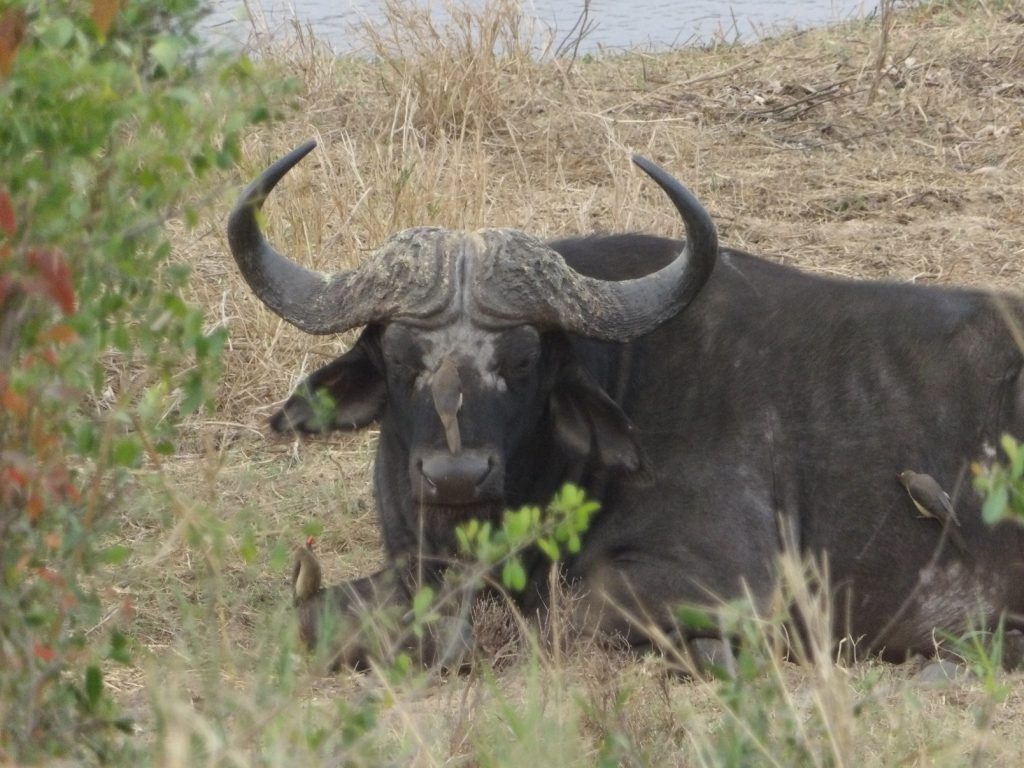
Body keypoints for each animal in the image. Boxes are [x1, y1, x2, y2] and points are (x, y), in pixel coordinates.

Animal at [230, 140, 1024, 667]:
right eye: (399, 360)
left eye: (524, 361)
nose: (455, 476)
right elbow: (313, 613)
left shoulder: (739, 582)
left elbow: (573, 604)